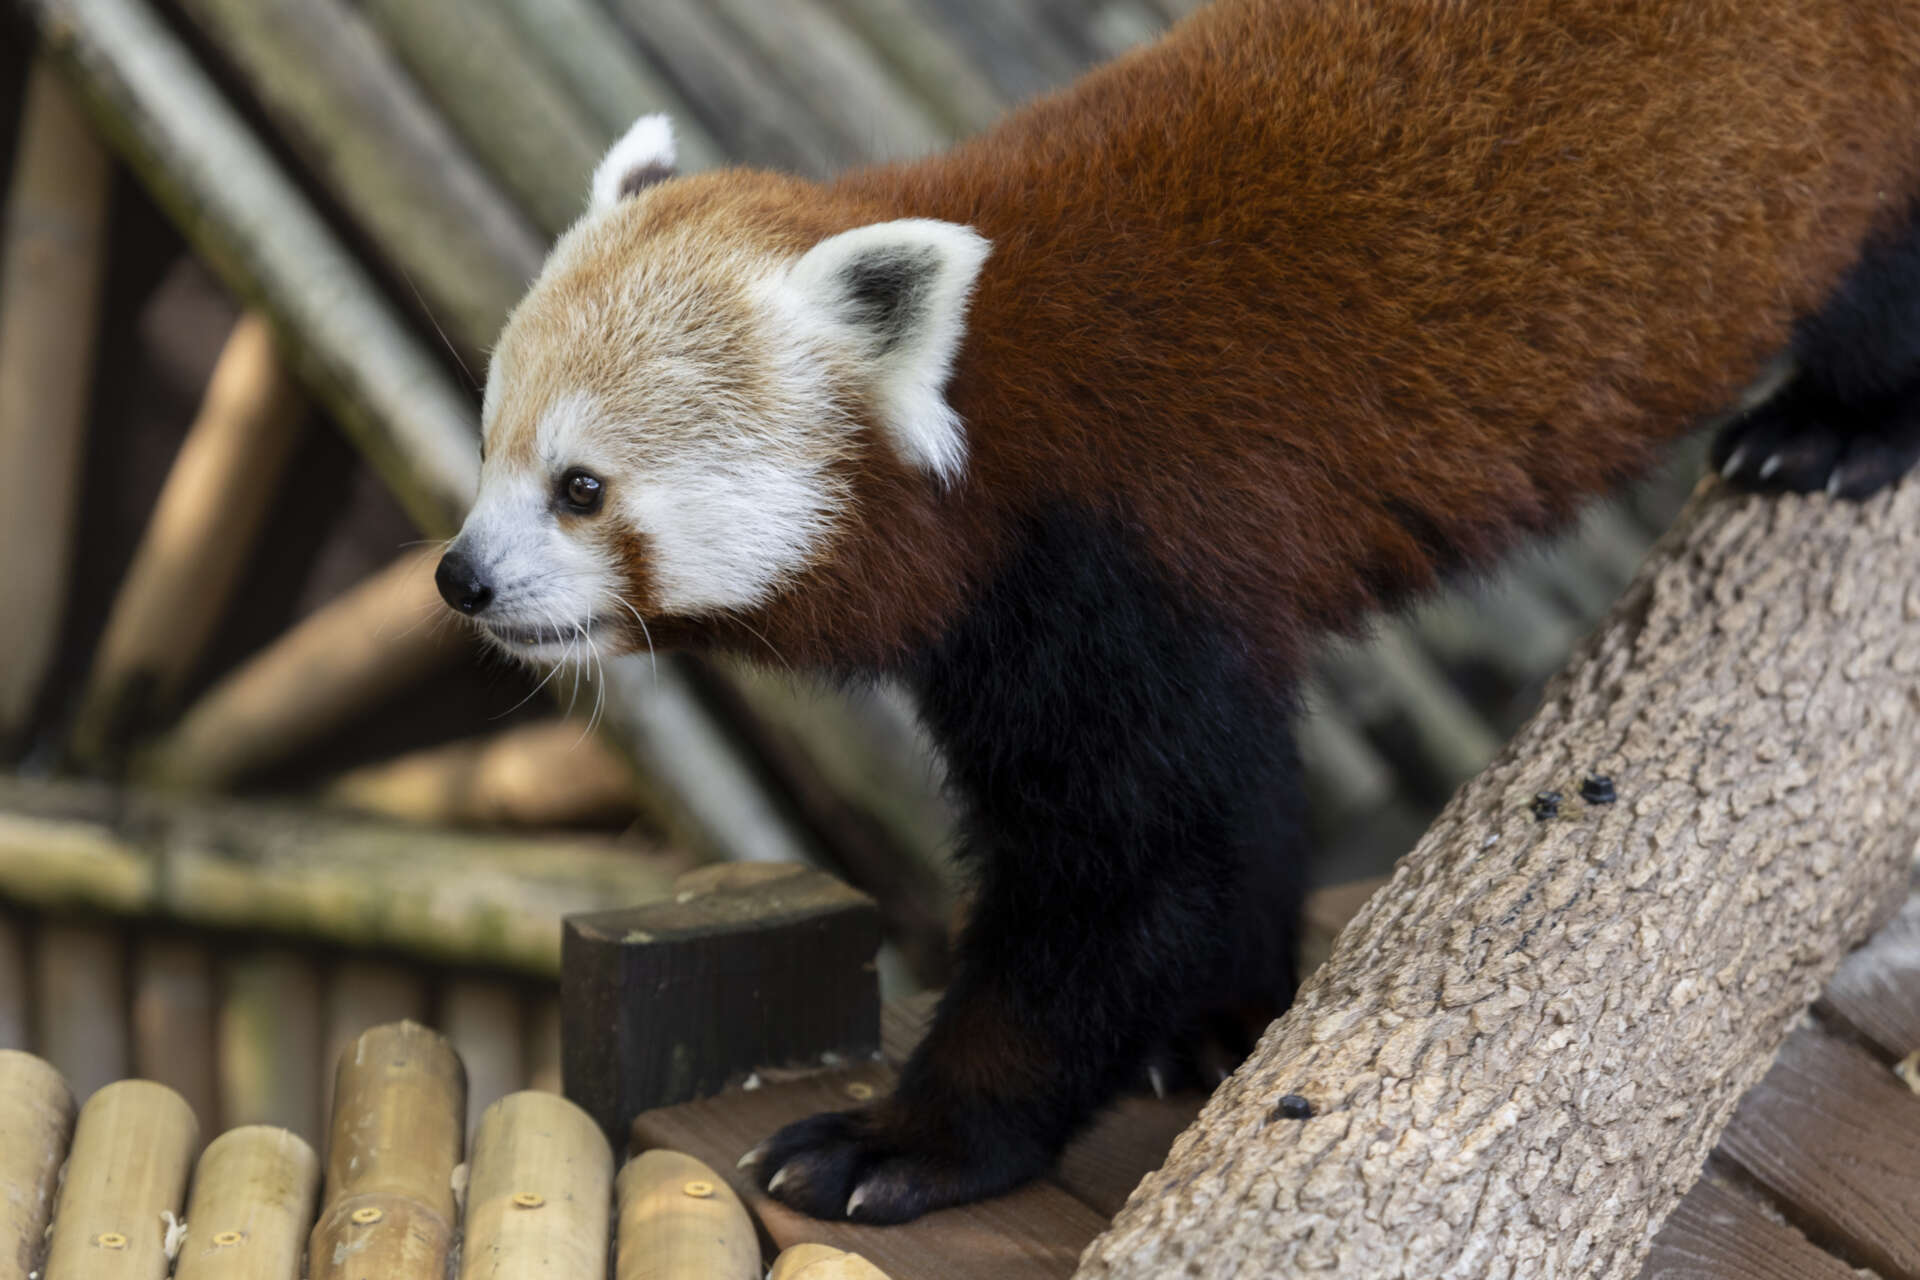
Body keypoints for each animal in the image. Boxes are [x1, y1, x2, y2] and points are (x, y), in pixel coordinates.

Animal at [435, 0, 1920, 1220]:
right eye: (490, 450)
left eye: (581, 489)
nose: (462, 578)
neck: (992, 406)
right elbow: (1230, 822)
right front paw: (1219, 1017)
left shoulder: (1126, 551)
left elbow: (1134, 865)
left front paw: (911, 1138)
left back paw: (1841, 427)